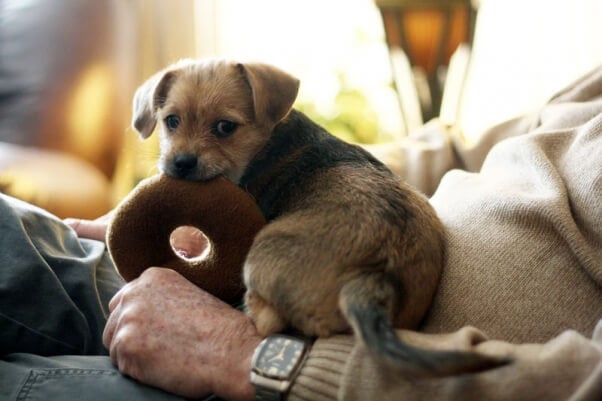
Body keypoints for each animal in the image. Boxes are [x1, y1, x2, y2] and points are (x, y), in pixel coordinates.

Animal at [130, 57, 506, 374]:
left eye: (225, 127)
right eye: (171, 122)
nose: (181, 163)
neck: (267, 142)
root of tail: (373, 277)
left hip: (259, 257)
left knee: (268, 321)